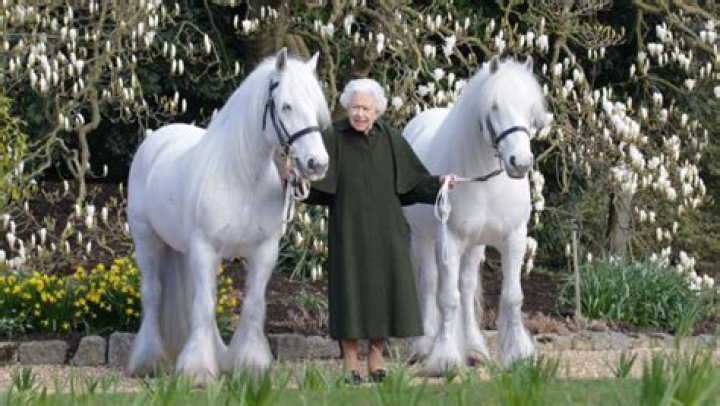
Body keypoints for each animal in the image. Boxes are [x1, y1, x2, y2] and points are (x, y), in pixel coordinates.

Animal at [126, 49, 330, 385]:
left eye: (316, 107)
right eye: (286, 106)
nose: (317, 163)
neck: (241, 177)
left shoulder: (264, 251)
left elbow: (252, 305)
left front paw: (249, 365)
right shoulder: (205, 248)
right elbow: (204, 306)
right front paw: (197, 371)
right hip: (147, 240)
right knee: (153, 294)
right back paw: (148, 361)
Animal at [402, 56, 549, 373]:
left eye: (530, 108)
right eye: (494, 107)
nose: (520, 162)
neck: (485, 180)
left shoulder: (514, 239)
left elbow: (511, 297)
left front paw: (519, 355)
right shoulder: (450, 241)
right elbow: (447, 298)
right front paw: (444, 359)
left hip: (474, 245)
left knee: (467, 288)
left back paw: (474, 350)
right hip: (422, 238)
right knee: (430, 284)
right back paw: (424, 345)